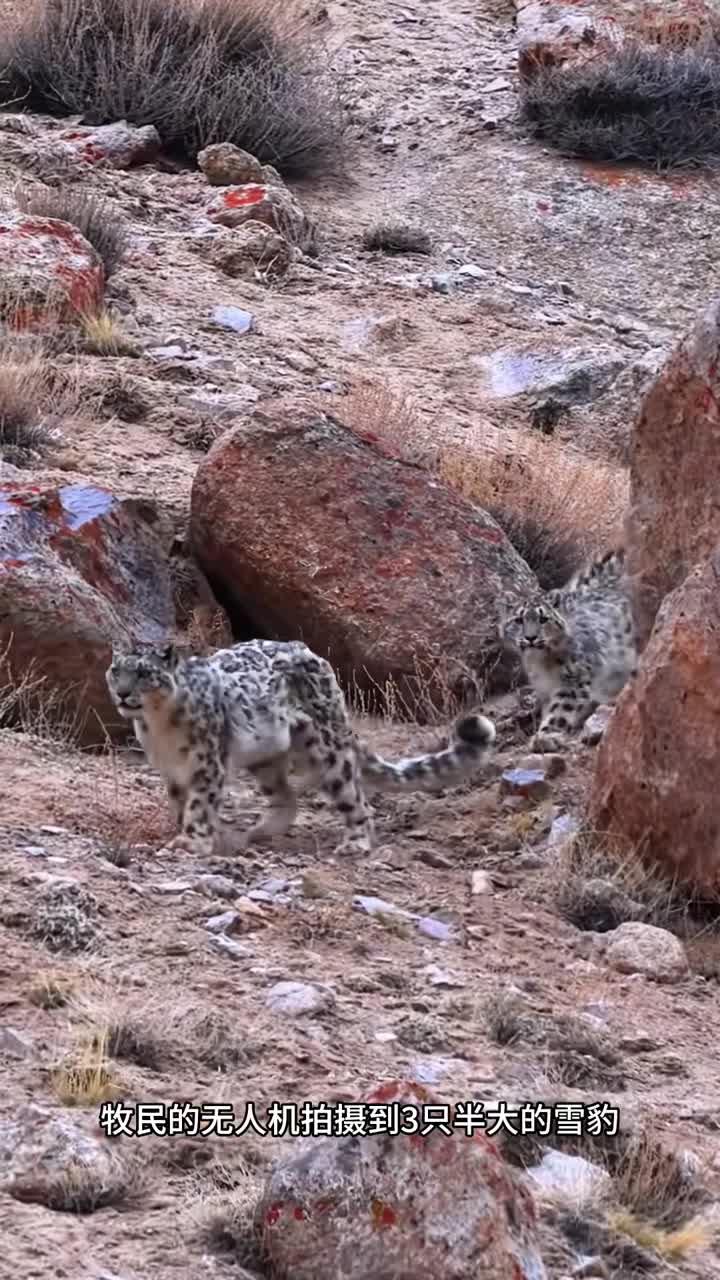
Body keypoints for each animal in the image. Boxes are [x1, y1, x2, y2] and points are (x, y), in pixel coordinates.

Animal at [103, 634, 491, 855]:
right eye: (116, 669)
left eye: (144, 673)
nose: (121, 693)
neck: (159, 727)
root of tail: (315, 656)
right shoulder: (172, 770)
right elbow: (181, 805)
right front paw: (183, 831)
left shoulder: (206, 762)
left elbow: (199, 805)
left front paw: (191, 842)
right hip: (264, 756)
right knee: (285, 798)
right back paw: (257, 833)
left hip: (327, 749)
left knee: (356, 798)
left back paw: (355, 843)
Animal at [499, 547, 632, 747]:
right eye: (518, 620)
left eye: (543, 618)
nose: (530, 637)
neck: (542, 664)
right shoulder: (544, 688)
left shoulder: (575, 680)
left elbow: (560, 709)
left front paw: (545, 736)